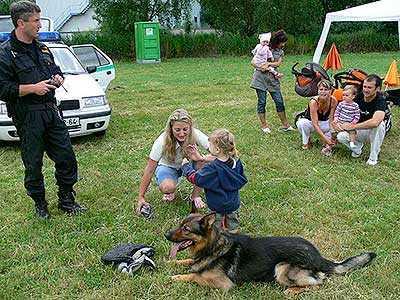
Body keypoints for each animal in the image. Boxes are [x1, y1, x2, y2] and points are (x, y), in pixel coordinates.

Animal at [164, 212, 376, 292]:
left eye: (186, 229)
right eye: (180, 225)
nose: (166, 234)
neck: (213, 246)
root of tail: (318, 256)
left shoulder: (224, 285)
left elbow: (194, 275)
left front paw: (176, 277)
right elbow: (186, 262)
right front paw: (170, 263)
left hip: (281, 268)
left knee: (318, 283)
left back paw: (292, 290)